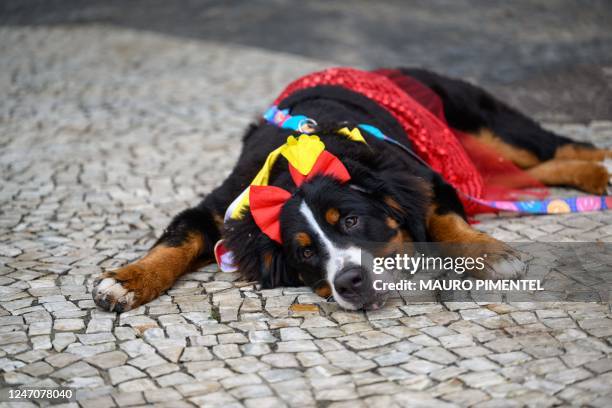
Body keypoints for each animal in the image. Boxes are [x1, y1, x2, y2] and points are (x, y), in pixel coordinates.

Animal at [92, 67, 612, 310]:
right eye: (303, 252)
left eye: (352, 220)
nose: (350, 281)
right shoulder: (221, 208)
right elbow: (177, 240)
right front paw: (127, 281)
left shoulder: (426, 177)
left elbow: (443, 219)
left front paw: (487, 253)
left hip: (488, 125)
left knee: (558, 147)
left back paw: (603, 169)